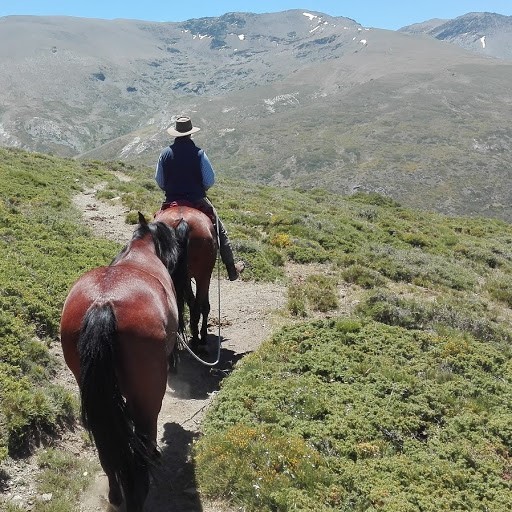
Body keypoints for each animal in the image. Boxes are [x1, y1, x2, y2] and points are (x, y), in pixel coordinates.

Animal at [59, 213, 187, 512]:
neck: (142, 251)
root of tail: (103, 304)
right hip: (148, 394)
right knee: (144, 435)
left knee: (107, 449)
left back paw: (117, 496)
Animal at [157, 206, 219, 350]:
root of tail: (183, 221)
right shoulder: (204, 276)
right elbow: (203, 306)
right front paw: (203, 337)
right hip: (203, 276)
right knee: (198, 308)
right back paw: (197, 341)